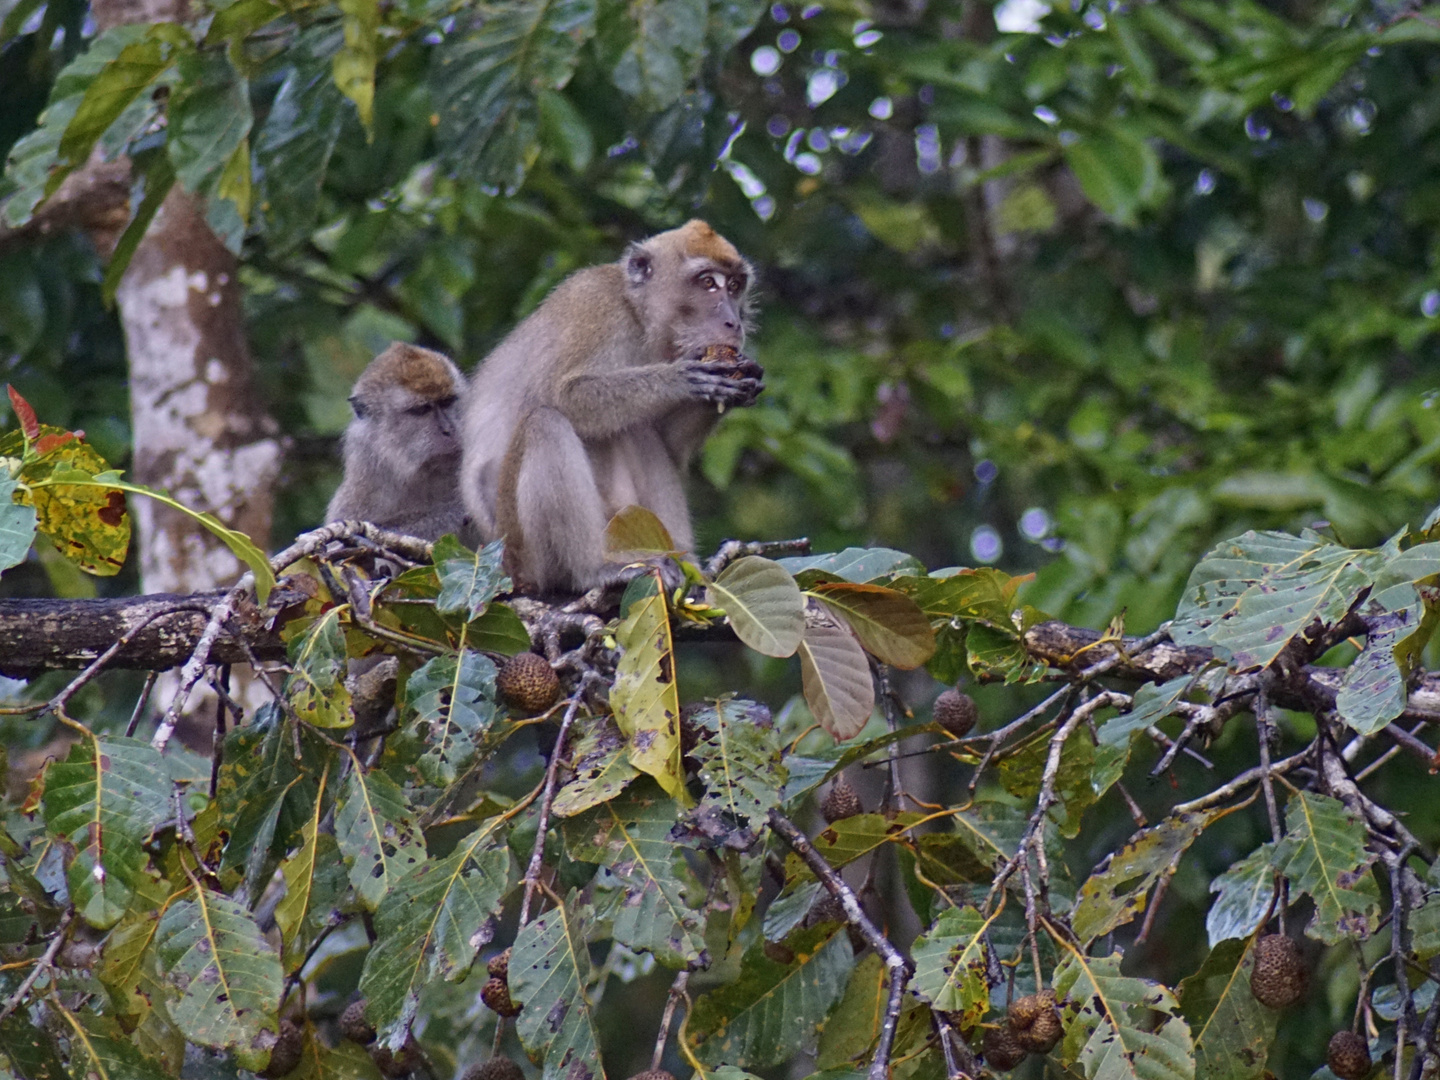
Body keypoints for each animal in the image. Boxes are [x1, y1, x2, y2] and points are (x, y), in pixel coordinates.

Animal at [463, 217, 766, 593]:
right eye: (708, 282)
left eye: (736, 286)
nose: (733, 322)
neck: (637, 315)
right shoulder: (594, 305)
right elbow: (560, 395)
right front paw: (680, 380)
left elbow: (667, 444)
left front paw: (740, 380)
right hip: (525, 553)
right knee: (545, 424)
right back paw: (592, 570)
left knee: (639, 430)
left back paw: (687, 566)